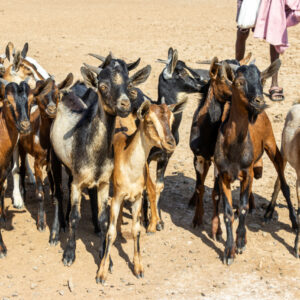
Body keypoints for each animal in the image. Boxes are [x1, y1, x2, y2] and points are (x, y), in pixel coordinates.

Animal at [50, 53, 151, 268]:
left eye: (129, 84)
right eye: (103, 86)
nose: (124, 105)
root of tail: (66, 95)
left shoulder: (104, 182)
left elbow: (105, 218)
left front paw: (106, 256)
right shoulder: (78, 183)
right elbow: (75, 217)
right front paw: (69, 254)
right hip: (54, 156)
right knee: (58, 191)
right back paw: (55, 231)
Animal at [96, 99, 186, 284]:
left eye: (172, 119)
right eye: (150, 121)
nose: (170, 142)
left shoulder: (137, 197)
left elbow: (136, 230)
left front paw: (139, 268)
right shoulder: (117, 196)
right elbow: (110, 232)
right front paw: (102, 273)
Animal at [214, 59, 296, 264]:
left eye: (261, 81)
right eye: (239, 82)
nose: (259, 101)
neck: (234, 148)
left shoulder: (247, 172)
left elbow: (242, 208)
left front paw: (240, 242)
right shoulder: (224, 175)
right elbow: (228, 212)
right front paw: (229, 251)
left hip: (271, 145)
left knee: (284, 184)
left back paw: (293, 221)